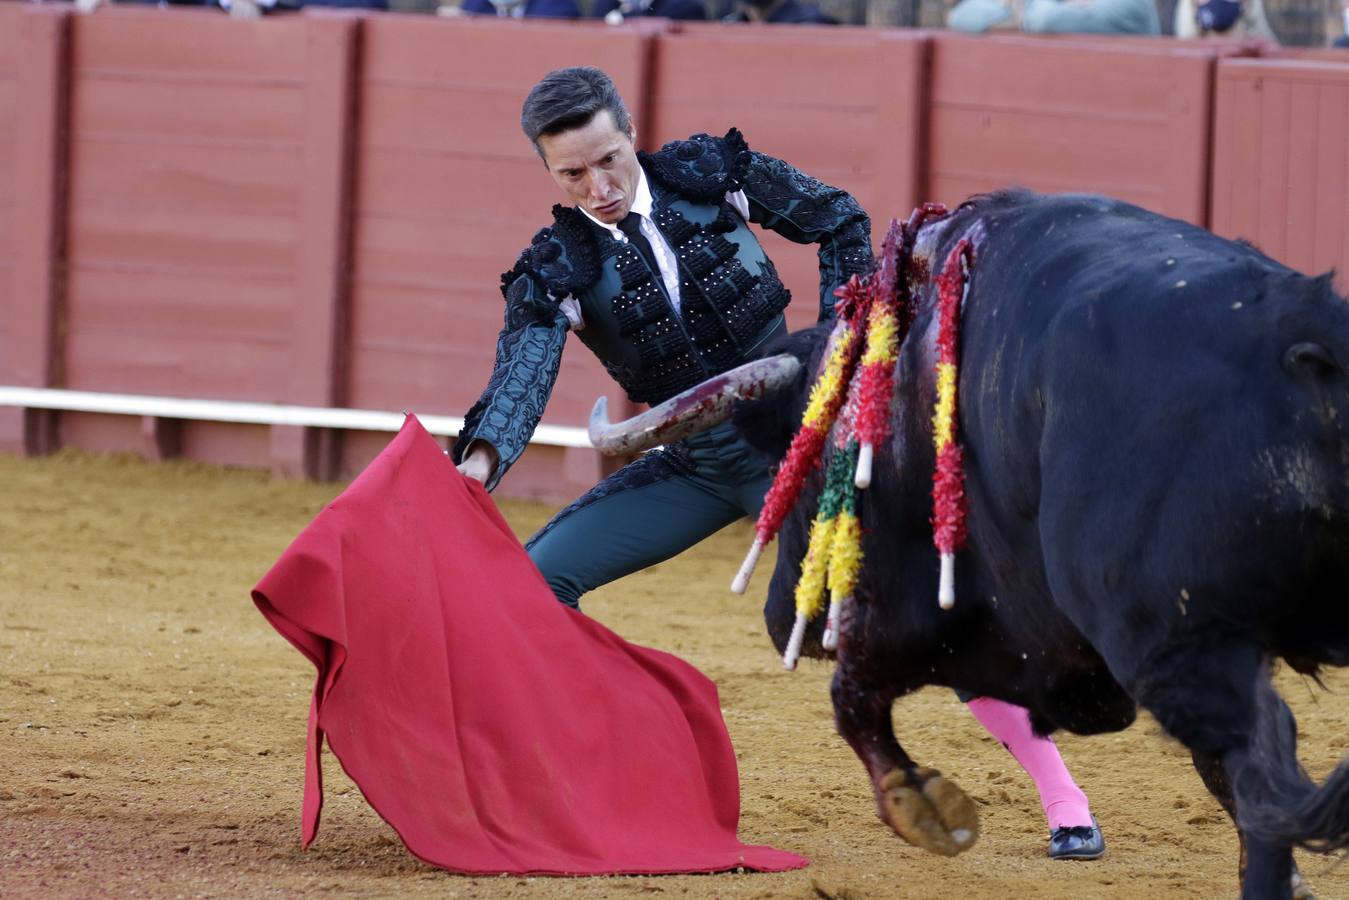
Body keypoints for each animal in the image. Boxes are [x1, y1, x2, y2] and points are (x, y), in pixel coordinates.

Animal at [590, 190, 1349, 900]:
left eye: (804, 466)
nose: (784, 620)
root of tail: (1301, 339)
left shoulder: (925, 613)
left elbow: (853, 699)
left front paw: (925, 807)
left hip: (1167, 643)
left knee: (1260, 764)